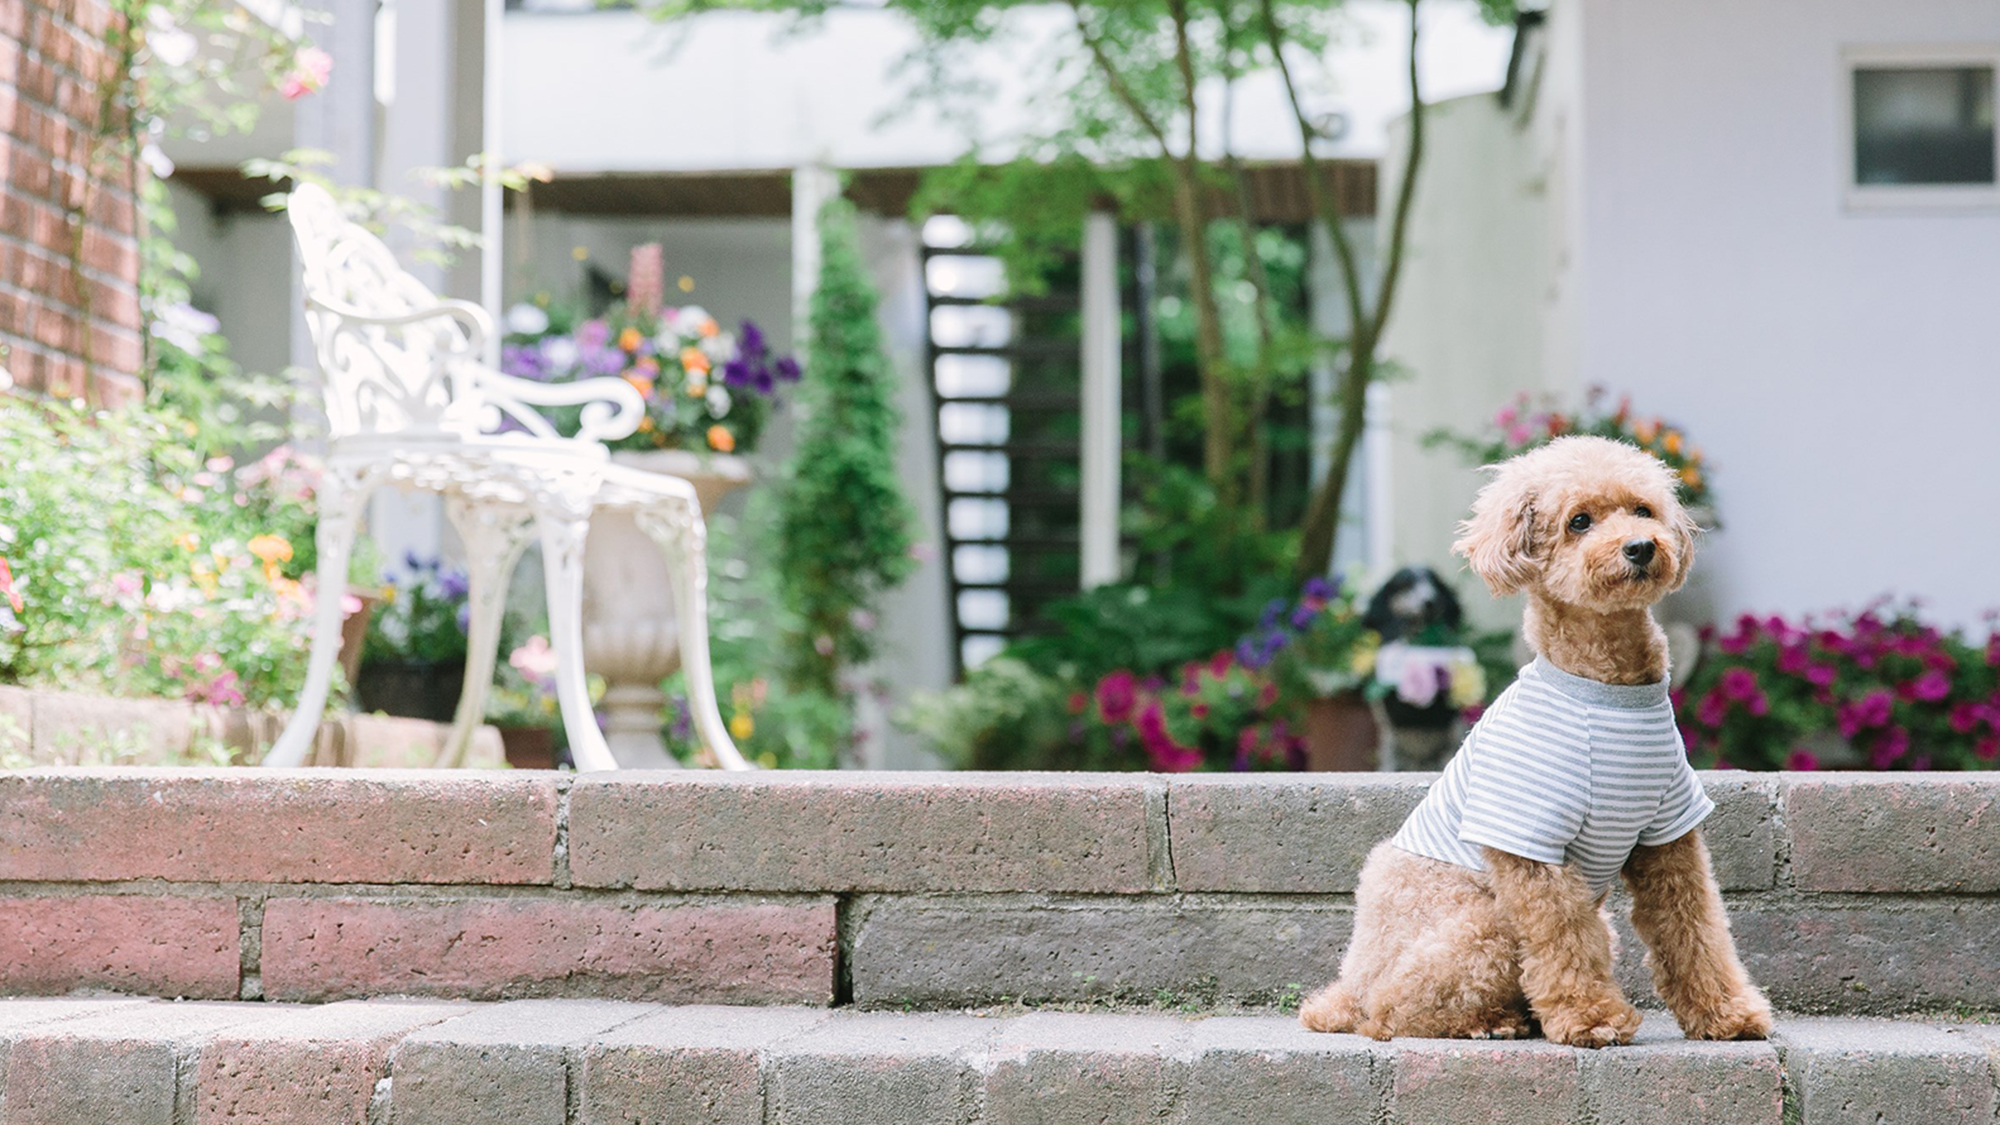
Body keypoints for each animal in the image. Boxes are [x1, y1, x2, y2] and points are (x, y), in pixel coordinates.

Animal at [1304, 436, 1776, 1040]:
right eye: (1579, 521)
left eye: (1643, 510)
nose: (1641, 547)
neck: (1605, 690)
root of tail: (1347, 984)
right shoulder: (1531, 844)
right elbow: (1561, 938)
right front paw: (1591, 1017)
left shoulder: (1669, 830)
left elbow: (1694, 927)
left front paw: (1726, 1012)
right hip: (1482, 924)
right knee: (1393, 1011)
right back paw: (1493, 1021)